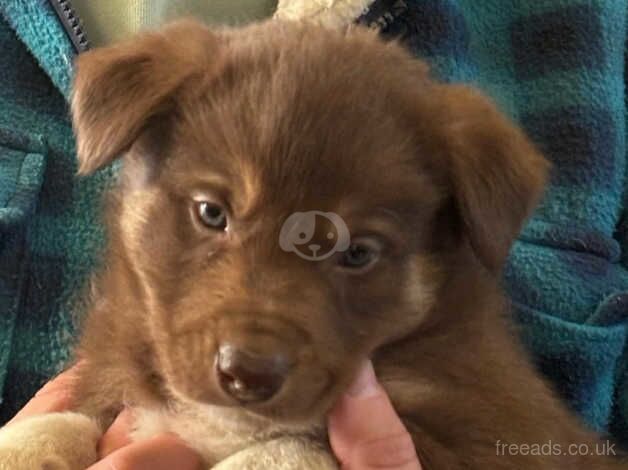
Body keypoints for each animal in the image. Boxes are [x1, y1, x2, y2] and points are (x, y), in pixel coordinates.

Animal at [62, 18, 624, 470]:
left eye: (357, 253)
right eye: (211, 213)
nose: (248, 375)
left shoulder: (491, 438)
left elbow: (285, 447)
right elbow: (75, 417)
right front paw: (43, 444)